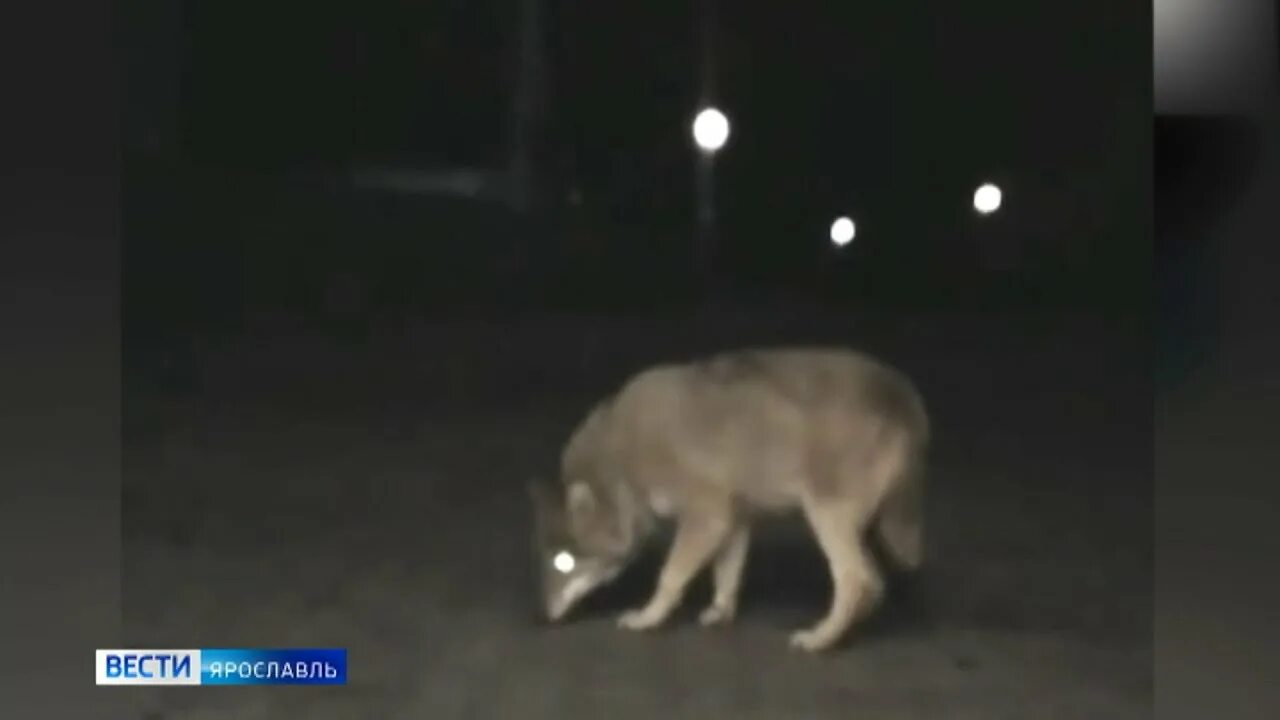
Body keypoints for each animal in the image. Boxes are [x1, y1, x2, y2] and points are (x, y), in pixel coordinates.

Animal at [524, 345, 926, 650]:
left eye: (563, 562)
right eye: (548, 559)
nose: (543, 616)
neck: (620, 463)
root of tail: (901, 397)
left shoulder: (707, 514)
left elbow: (670, 575)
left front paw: (647, 618)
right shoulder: (734, 518)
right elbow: (727, 573)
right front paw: (719, 613)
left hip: (825, 515)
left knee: (855, 579)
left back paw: (820, 639)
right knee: (874, 583)